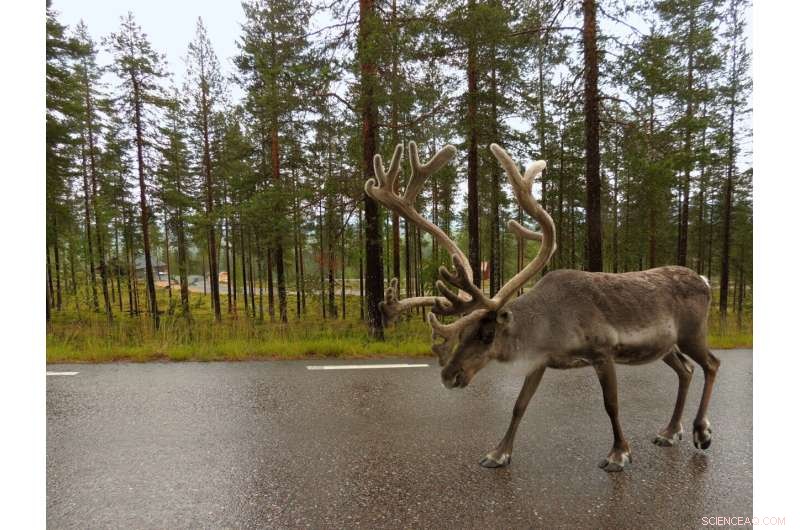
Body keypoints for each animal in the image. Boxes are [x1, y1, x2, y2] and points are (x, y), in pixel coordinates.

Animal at [365, 141, 720, 472]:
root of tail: (705, 280)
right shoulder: (540, 359)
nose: (449, 376)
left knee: (711, 364)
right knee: (686, 370)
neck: (548, 326)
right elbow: (519, 405)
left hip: (693, 334)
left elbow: (611, 405)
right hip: (667, 346)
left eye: (487, 334)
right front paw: (498, 453)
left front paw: (619, 454)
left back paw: (701, 431)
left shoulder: (602, 352)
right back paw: (670, 432)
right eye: (461, 332)